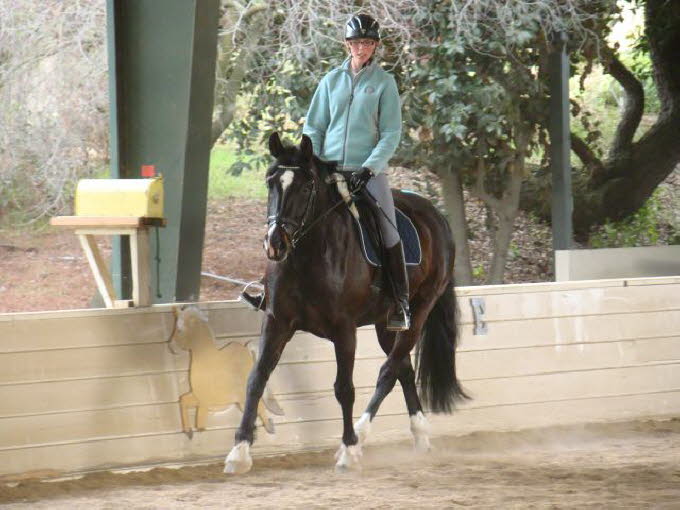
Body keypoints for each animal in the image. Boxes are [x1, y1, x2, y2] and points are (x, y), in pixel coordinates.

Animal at [226, 132, 464, 474]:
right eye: (270, 182)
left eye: (307, 186)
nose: (274, 243)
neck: (307, 255)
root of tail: (437, 216)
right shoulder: (277, 321)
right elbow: (256, 378)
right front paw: (239, 451)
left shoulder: (344, 329)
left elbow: (344, 388)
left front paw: (349, 450)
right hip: (385, 323)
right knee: (403, 369)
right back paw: (419, 436)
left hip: (418, 313)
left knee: (389, 371)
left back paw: (362, 435)